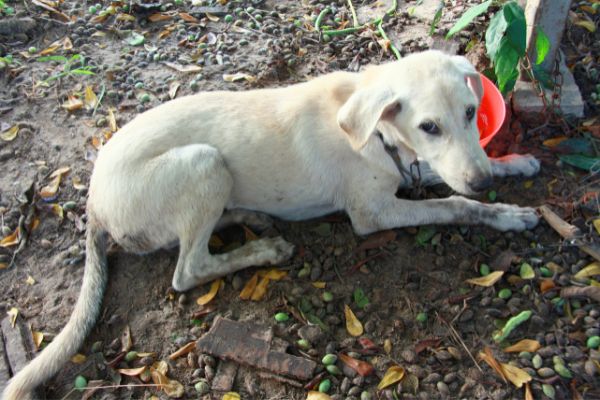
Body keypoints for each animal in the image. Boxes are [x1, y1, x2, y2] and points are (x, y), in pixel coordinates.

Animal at [2, 50, 540, 400]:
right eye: (429, 126)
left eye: (471, 112)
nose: (481, 179)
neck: (378, 133)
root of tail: (93, 203)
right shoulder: (373, 214)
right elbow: (455, 204)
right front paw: (504, 214)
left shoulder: (411, 170)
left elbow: (441, 175)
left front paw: (512, 165)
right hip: (204, 163)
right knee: (188, 269)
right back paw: (263, 250)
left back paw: (252, 216)